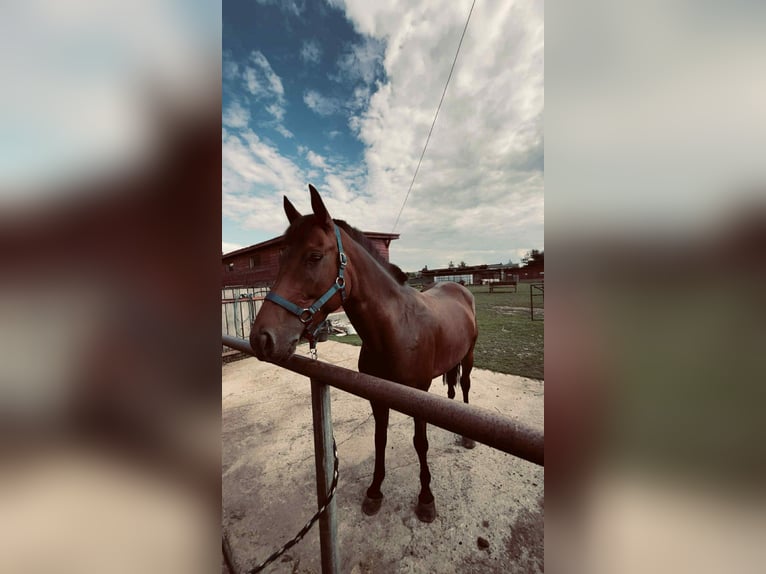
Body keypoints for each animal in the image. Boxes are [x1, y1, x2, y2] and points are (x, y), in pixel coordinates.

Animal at [251, 184, 478, 523]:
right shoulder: (377, 397)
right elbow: (379, 439)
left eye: (314, 256)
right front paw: (374, 491)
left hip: (469, 357)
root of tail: (459, 287)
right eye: (281, 258)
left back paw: (467, 436)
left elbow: (420, 443)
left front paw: (426, 498)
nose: (260, 338)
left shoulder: (418, 394)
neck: (397, 329)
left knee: (463, 386)